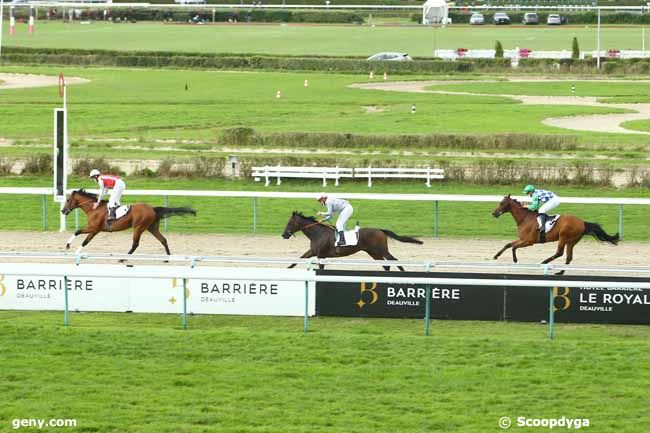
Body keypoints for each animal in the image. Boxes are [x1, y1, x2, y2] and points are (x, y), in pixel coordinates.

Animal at [62, 190, 196, 256]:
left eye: (68, 200)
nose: (63, 210)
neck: (94, 208)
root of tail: (152, 208)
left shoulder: (94, 228)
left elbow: (80, 234)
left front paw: (69, 247)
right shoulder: (95, 230)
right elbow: (84, 239)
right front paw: (73, 250)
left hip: (138, 227)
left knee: (135, 244)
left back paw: (125, 257)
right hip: (152, 227)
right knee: (163, 240)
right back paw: (168, 256)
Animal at [280, 210, 422, 268]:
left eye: (290, 223)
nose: (284, 235)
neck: (318, 234)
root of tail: (380, 230)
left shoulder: (321, 255)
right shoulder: (313, 252)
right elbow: (297, 260)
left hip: (381, 250)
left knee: (394, 260)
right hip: (373, 253)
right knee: (385, 264)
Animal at [488, 193, 616, 270]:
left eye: (502, 203)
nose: (494, 213)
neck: (525, 218)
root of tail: (582, 222)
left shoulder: (529, 241)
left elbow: (514, 247)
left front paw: (515, 260)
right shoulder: (522, 239)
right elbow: (508, 244)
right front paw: (495, 256)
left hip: (563, 237)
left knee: (559, 253)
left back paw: (543, 262)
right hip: (572, 241)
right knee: (568, 257)